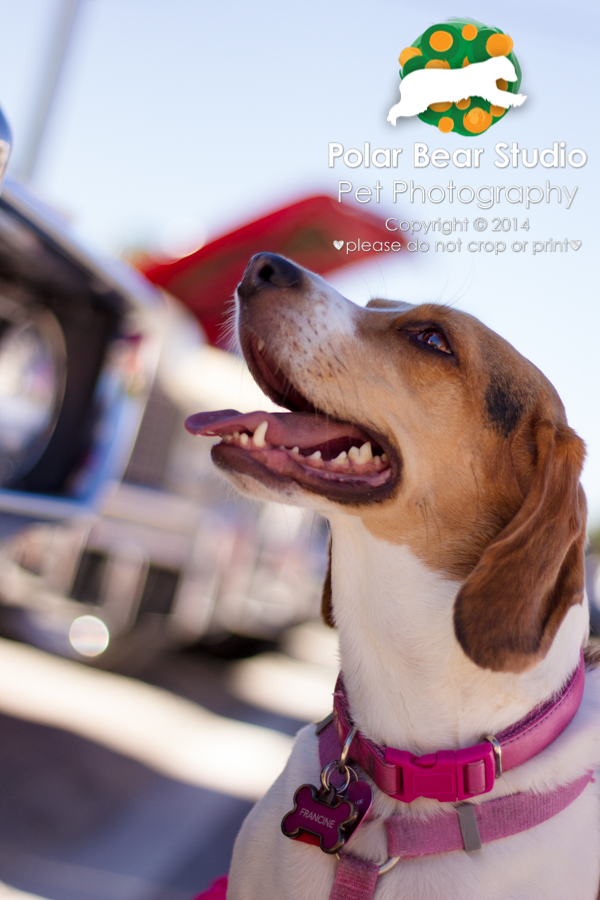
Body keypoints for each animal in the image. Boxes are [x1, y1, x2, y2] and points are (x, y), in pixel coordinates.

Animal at [390, 55, 524, 125]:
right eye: (511, 70)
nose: (517, 78)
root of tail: (403, 83)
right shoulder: (488, 90)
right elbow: (503, 96)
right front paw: (519, 99)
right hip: (415, 103)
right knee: (395, 109)